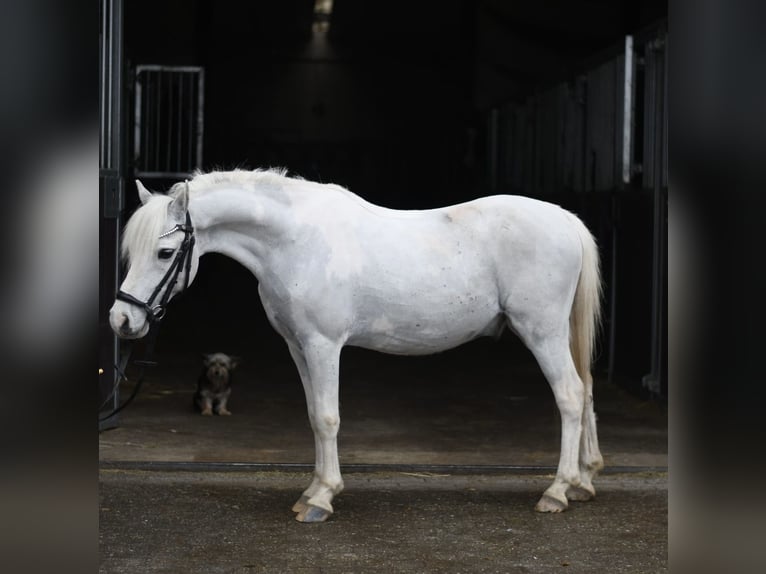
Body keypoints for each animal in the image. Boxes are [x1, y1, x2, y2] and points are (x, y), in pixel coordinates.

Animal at [109, 168, 604, 523]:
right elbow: (313, 416)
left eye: (165, 254)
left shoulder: (323, 344)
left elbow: (328, 418)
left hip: (542, 332)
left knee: (570, 396)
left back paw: (557, 492)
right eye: (130, 253)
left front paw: (322, 500)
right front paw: (312, 490)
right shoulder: (298, 346)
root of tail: (564, 219)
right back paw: (583, 482)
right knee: (587, 393)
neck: (296, 240)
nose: (122, 320)